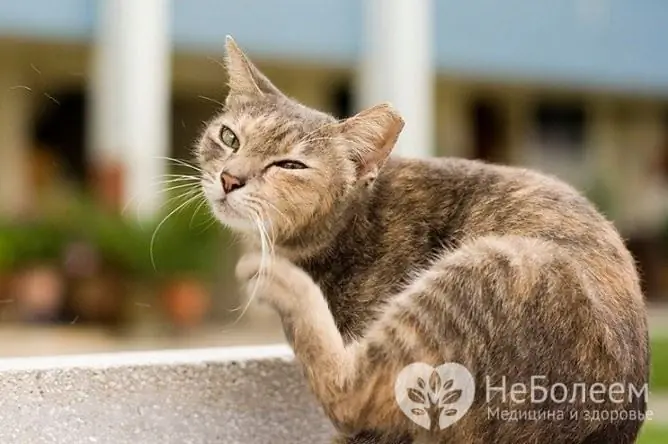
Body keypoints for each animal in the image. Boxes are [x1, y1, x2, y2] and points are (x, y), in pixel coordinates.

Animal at [197, 36, 648, 442]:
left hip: (496, 267)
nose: (230, 178)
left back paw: (280, 281)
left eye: (290, 165)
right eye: (230, 137)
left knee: (350, 396)